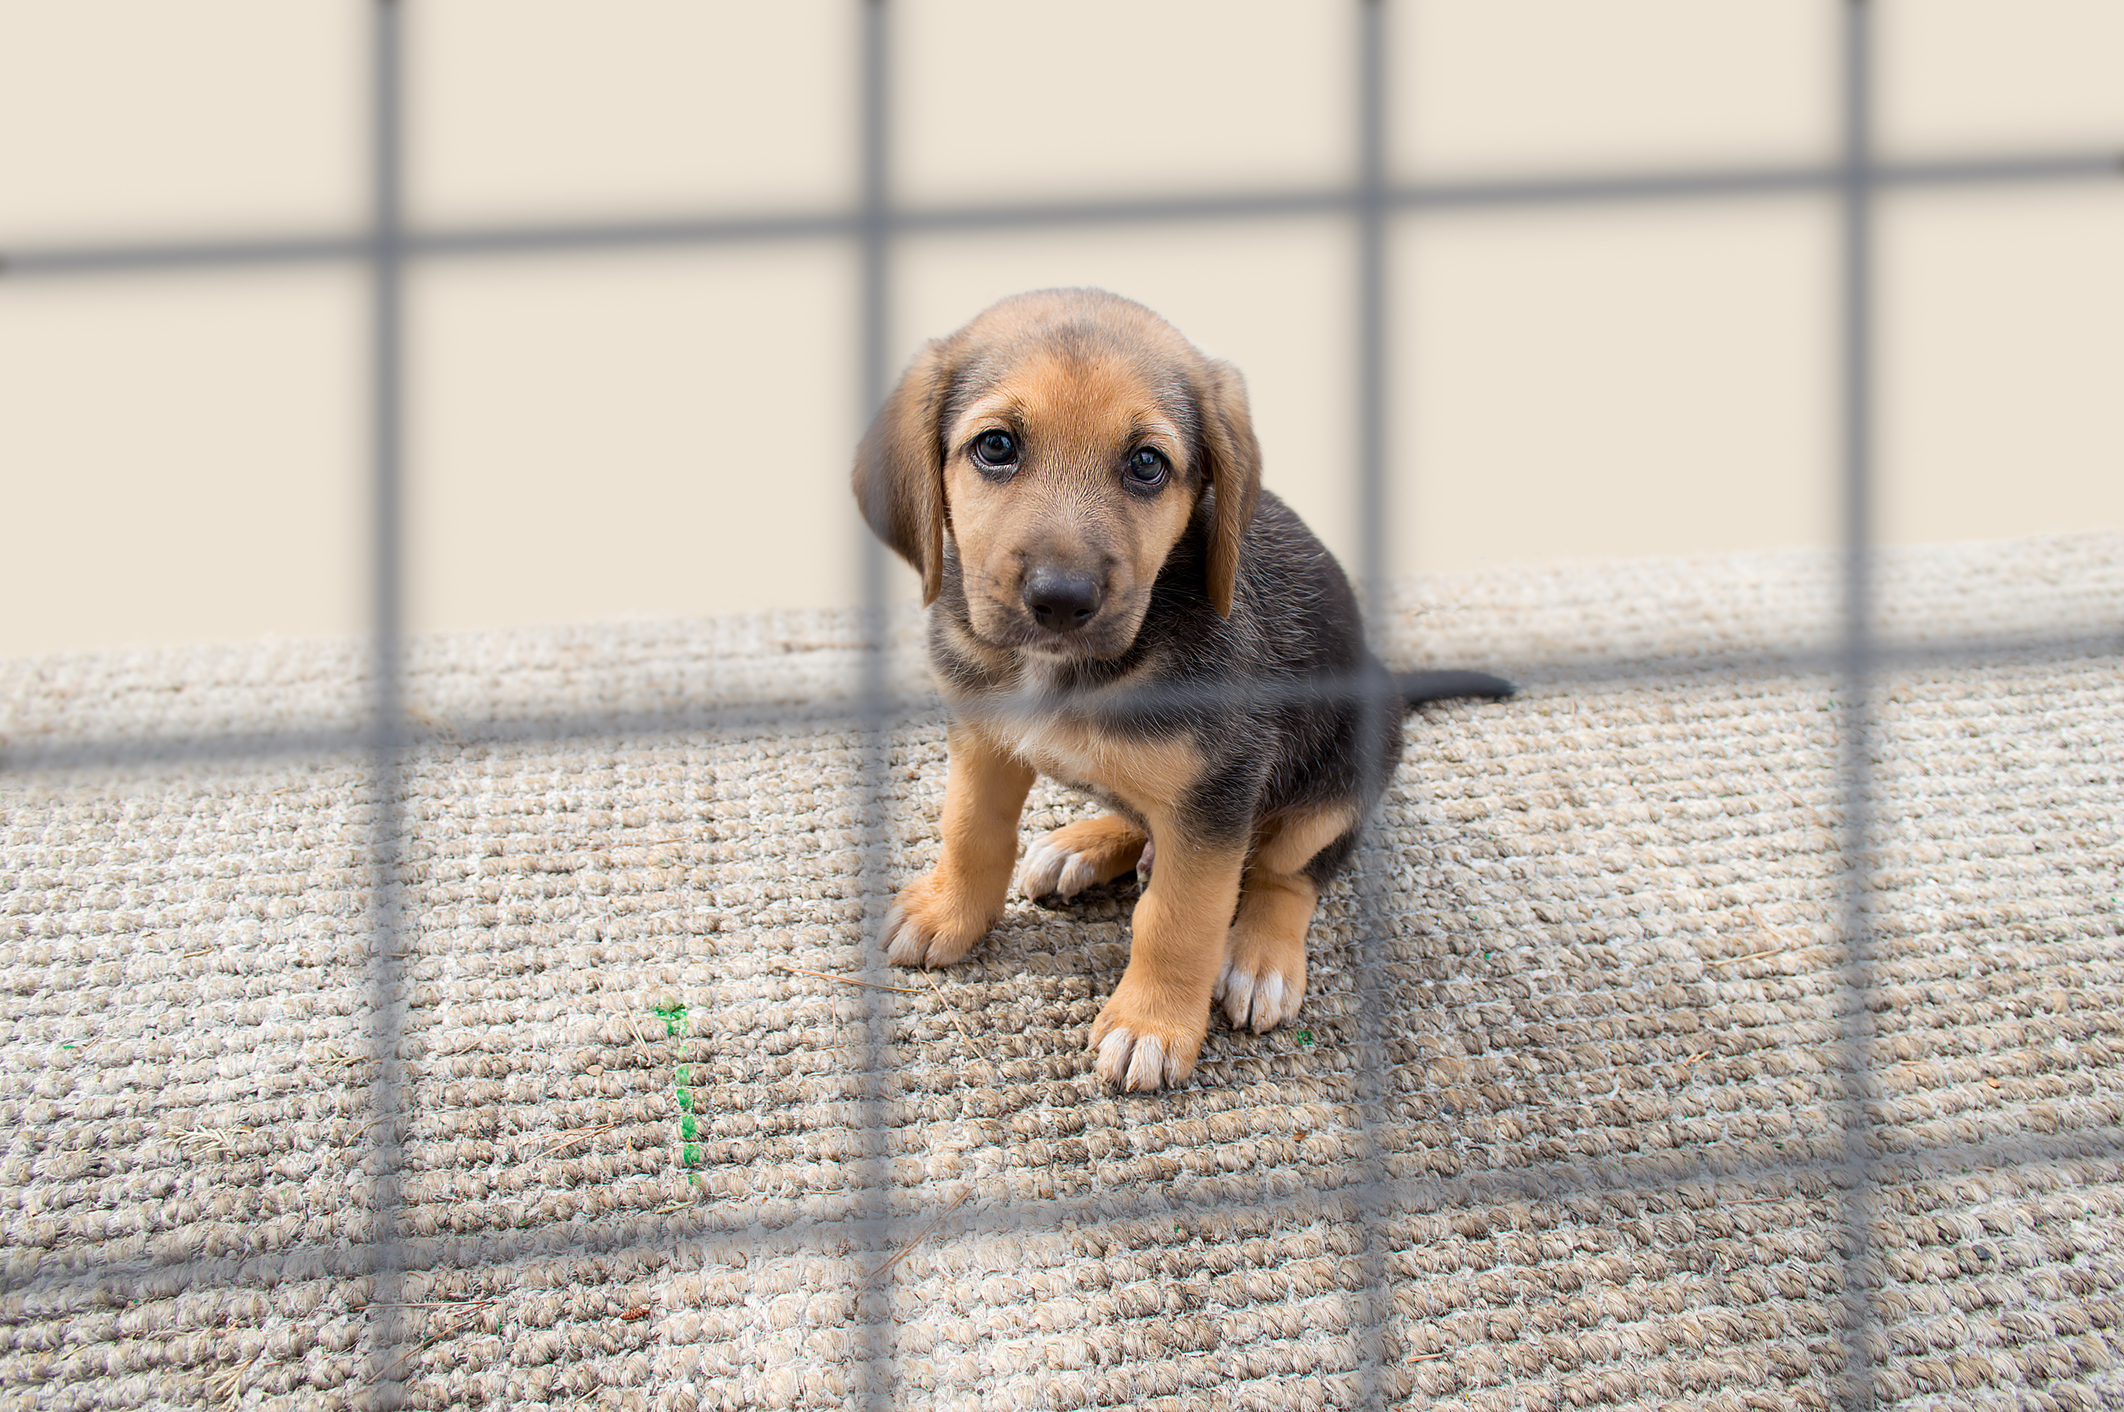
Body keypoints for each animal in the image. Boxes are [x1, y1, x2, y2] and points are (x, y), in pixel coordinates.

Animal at [849, 286, 1512, 1087]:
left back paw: (1260, 959)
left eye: (1146, 463)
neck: (1069, 672)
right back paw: (1085, 843)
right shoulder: (982, 738)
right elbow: (971, 830)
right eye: (996, 447)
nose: (1061, 601)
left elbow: (1179, 919)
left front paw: (1152, 1024)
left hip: (1344, 769)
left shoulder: (1220, 788)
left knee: (1288, 873)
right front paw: (949, 912)